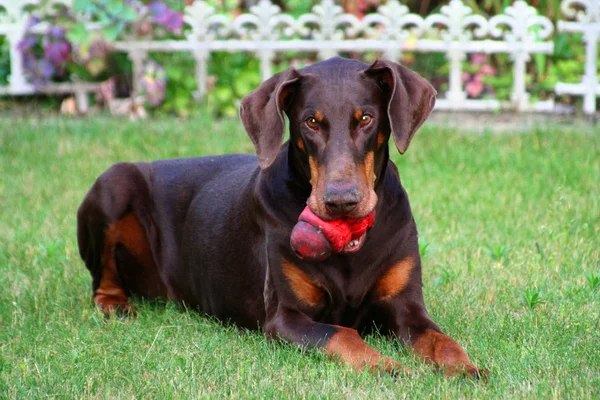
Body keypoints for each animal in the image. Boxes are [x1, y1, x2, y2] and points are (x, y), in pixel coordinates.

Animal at [77, 57, 486, 378]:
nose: (341, 201)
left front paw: (467, 367)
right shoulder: (285, 318)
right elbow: (343, 334)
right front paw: (387, 365)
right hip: (115, 180)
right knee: (101, 281)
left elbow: (440, 339)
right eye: (311, 122)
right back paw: (116, 305)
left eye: (366, 118)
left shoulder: (406, 308)